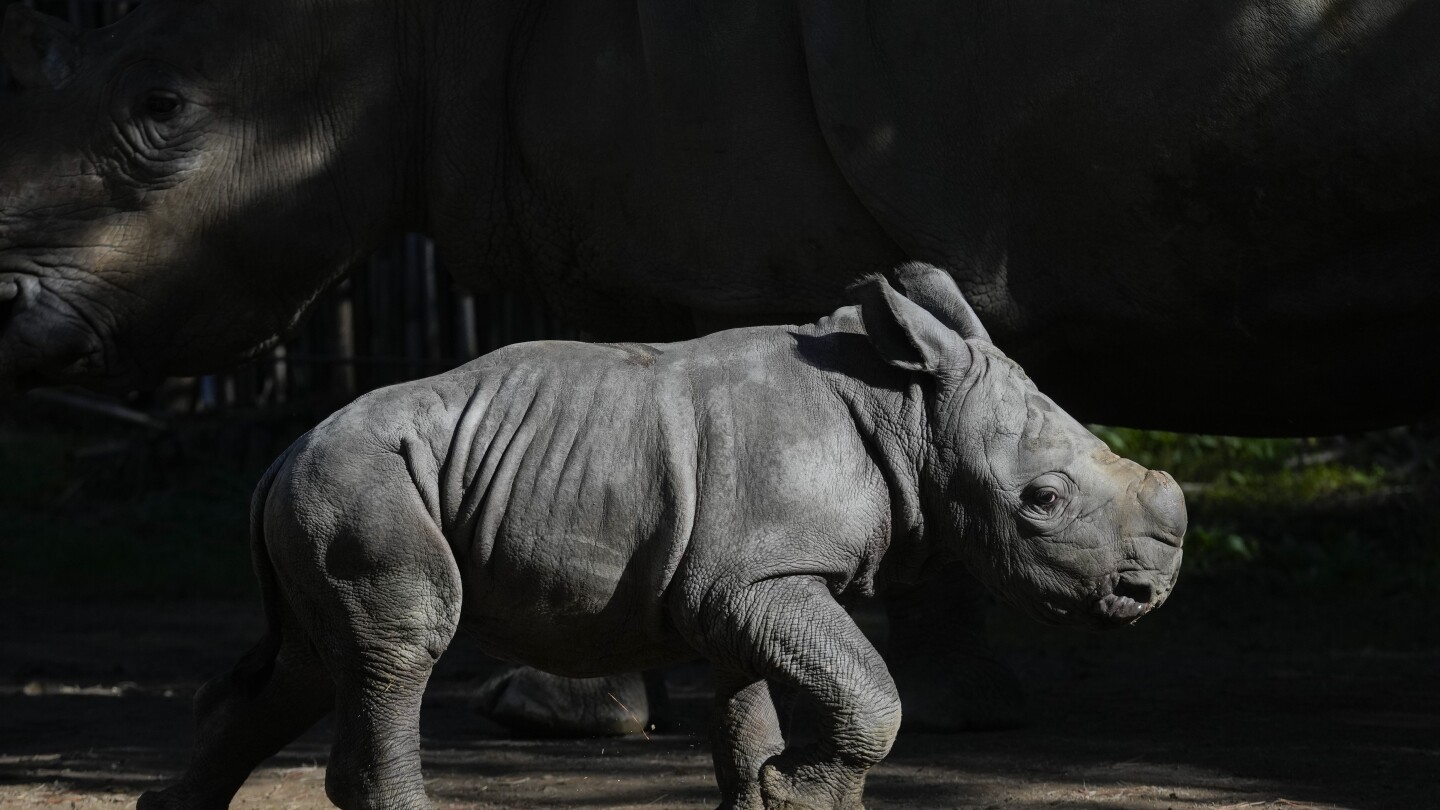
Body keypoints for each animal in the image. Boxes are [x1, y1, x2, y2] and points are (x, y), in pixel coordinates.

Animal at [143, 265, 1180, 807]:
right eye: (1042, 501)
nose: (1149, 593)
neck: (907, 411)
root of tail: (280, 453)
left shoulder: (737, 580)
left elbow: (746, 705)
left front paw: (764, 796)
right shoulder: (756, 578)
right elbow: (867, 692)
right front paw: (798, 794)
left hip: (328, 489)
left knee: (313, 665)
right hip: (359, 482)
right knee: (398, 646)